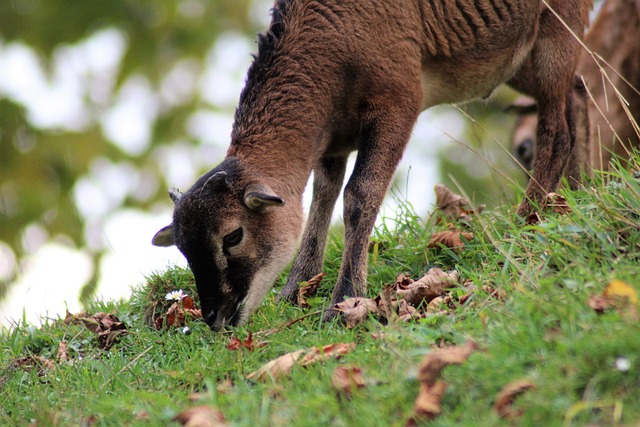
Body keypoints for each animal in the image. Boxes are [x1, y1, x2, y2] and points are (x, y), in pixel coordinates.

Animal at [154, 0, 592, 332]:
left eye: (232, 236)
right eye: (182, 247)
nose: (216, 317)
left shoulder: (398, 101)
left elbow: (359, 195)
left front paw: (344, 302)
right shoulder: (331, 139)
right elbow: (323, 198)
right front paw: (296, 289)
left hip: (557, 27)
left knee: (557, 128)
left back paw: (528, 218)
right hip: (519, 60)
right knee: (577, 96)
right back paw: (576, 195)